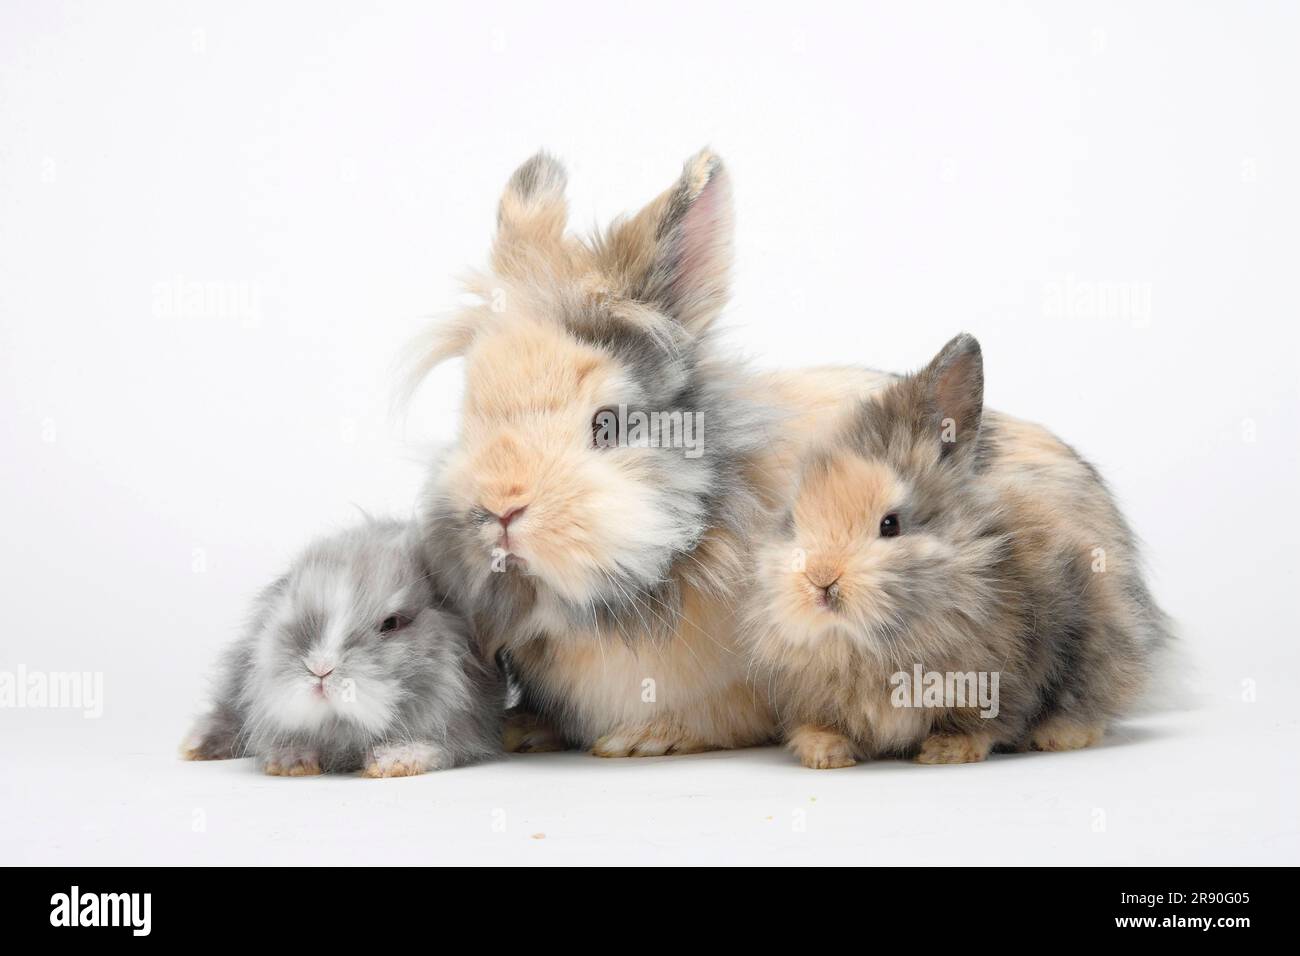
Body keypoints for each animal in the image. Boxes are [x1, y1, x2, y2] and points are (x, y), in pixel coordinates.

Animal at [180, 519, 503, 776]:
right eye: (296, 607)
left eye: (391, 623)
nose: (320, 668)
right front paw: (291, 762)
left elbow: (438, 744)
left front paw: (394, 760)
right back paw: (196, 747)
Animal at [743, 334, 1174, 769]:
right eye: (792, 520)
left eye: (890, 524)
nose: (821, 579)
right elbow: (818, 723)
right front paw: (824, 754)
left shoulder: (1006, 674)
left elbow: (987, 720)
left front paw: (946, 751)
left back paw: (1060, 736)